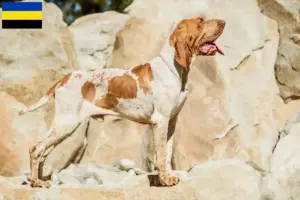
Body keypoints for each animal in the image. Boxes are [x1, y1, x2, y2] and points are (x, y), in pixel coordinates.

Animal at [18, 16, 225, 188]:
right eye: (201, 21)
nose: (223, 22)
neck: (174, 68)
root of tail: (64, 78)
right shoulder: (160, 121)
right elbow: (159, 155)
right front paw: (164, 181)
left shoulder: (171, 121)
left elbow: (166, 154)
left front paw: (168, 177)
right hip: (66, 123)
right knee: (36, 148)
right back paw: (36, 182)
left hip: (64, 127)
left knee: (43, 152)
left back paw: (40, 180)